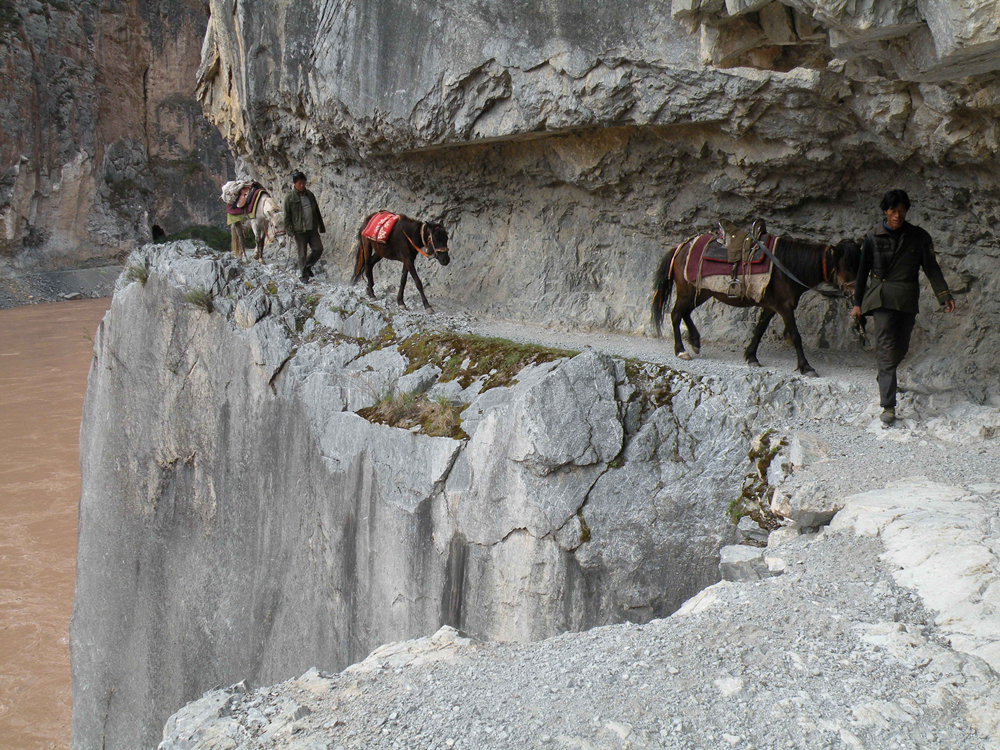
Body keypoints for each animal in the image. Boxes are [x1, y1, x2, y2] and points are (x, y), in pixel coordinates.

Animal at [648, 228, 860, 376]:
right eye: (847, 267)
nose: (855, 293)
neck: (786, 267)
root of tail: (681, 247)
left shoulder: (771, 306)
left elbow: (759, 329)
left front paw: (751, 357)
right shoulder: (784, 307)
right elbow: (795, 335)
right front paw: (806, 367)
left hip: (701, 292)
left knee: (685, 313)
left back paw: (695, 341)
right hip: (688, 291)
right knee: (676, 314)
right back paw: (681, 350)